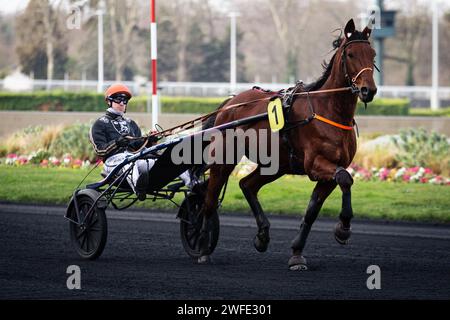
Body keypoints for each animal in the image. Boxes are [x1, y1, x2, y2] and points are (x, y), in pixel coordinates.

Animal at [197, 18, 376, 270]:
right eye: (350, 54)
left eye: (373, 54)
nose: (369, 90)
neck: (328, 110)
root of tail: (229, 104)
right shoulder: (315, 164)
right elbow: (345, 178)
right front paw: (343, 229)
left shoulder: (329, 171)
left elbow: (314, 209)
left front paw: (297, 253)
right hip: (224, 160)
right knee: (210, 200)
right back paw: (203, 248)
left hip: (277, 165)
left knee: (247, 184)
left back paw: (262, 236)